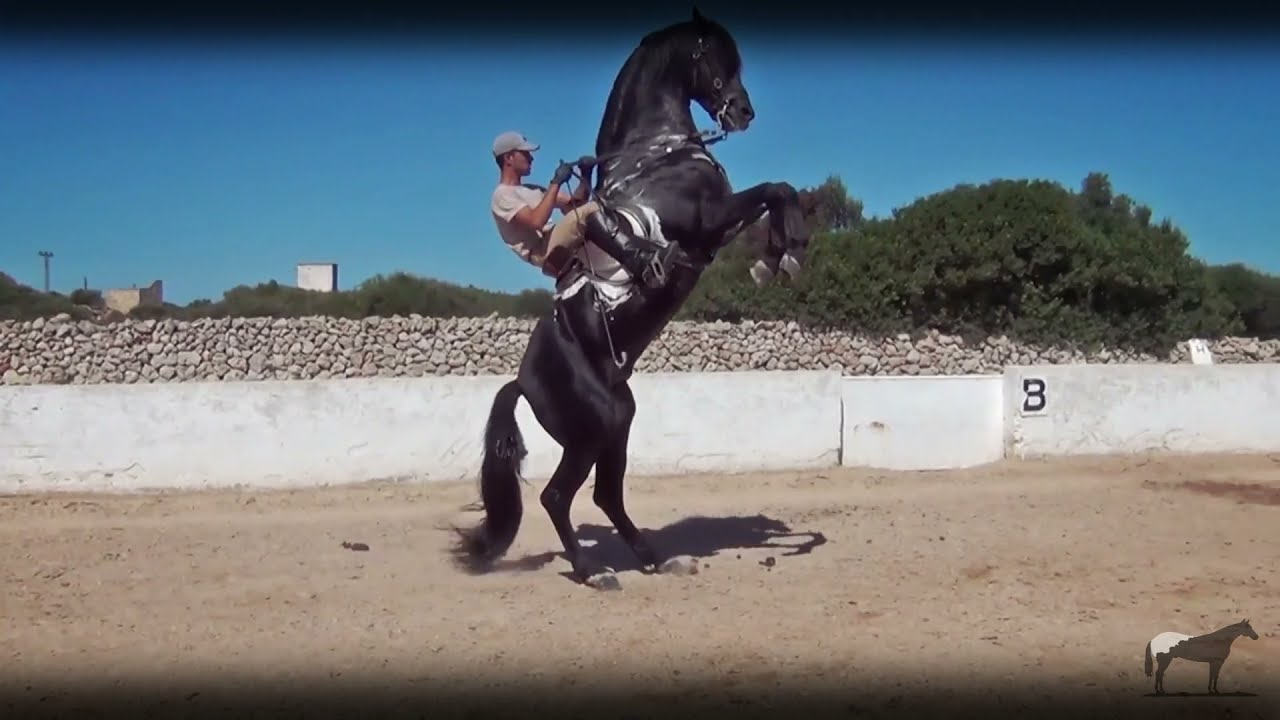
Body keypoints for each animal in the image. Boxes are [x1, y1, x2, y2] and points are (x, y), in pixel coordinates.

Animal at [448, 7, 812, 590]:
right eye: (711, 55)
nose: (743, 112)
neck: (654, 154)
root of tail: (522, 382)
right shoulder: (709, 221)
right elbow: (776, 189)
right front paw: (784, 254)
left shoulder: (717, 227)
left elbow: (777, 193)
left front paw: (776, 256)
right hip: (592, 429)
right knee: (557, 497)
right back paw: (593, 571)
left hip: (618, 420)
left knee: (605, 495)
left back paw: (654, 559)